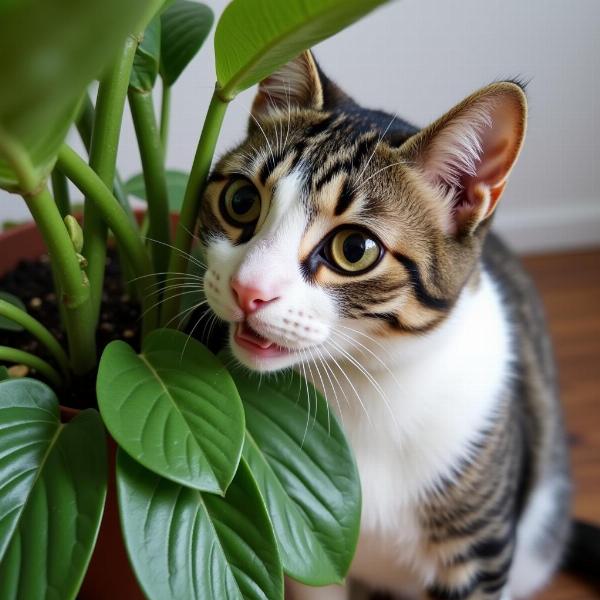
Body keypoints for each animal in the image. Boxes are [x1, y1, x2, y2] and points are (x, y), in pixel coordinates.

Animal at [198, 51, 596, 600]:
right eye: (241, 201)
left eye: (355, 249)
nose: (247, 289)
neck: (362, 386)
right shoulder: (317, 551)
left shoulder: (480, 553)